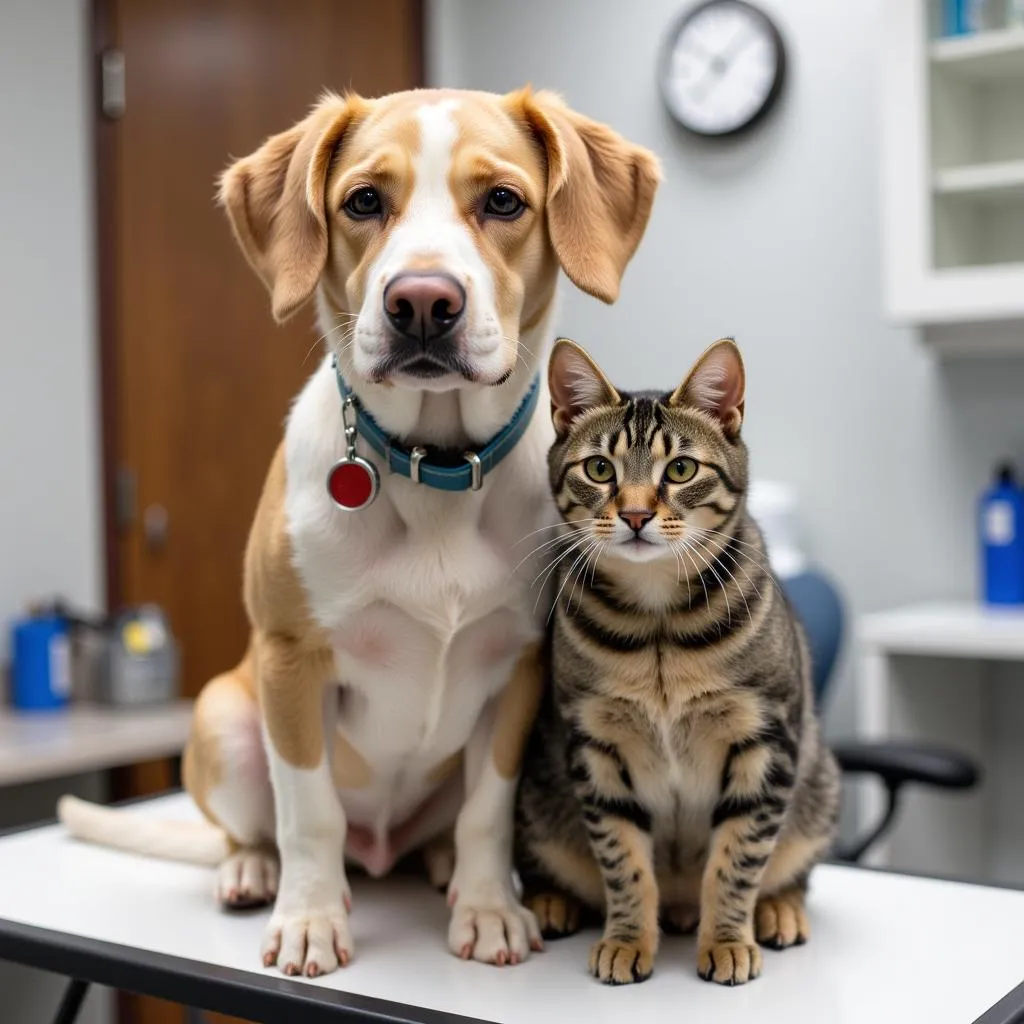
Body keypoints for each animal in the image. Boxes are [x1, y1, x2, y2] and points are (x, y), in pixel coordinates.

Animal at [58, 88, 663, 974]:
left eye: (503, 201)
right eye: (364, 201)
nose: (423, 303)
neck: (434, 467)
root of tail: (381, 853)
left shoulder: (516, 669)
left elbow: (488, 808)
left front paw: (488, 907)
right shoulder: (292, 665)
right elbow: (309, 812)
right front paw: (309, 918)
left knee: (439, 830)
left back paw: (443, 865)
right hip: (225, 718)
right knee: (259, 827)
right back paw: (253, 870)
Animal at [512, 335, 839, 983]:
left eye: (681, 469)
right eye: (600, 469)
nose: (636, 514)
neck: (658, 623)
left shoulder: (765, 742)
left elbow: (738, 860)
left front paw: (729, 940)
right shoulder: (597, 749)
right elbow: (623, 862)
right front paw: (627, 939)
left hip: (820, 784)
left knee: (791, 870)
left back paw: (777, 910)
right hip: (534, 792)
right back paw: (553, 902)